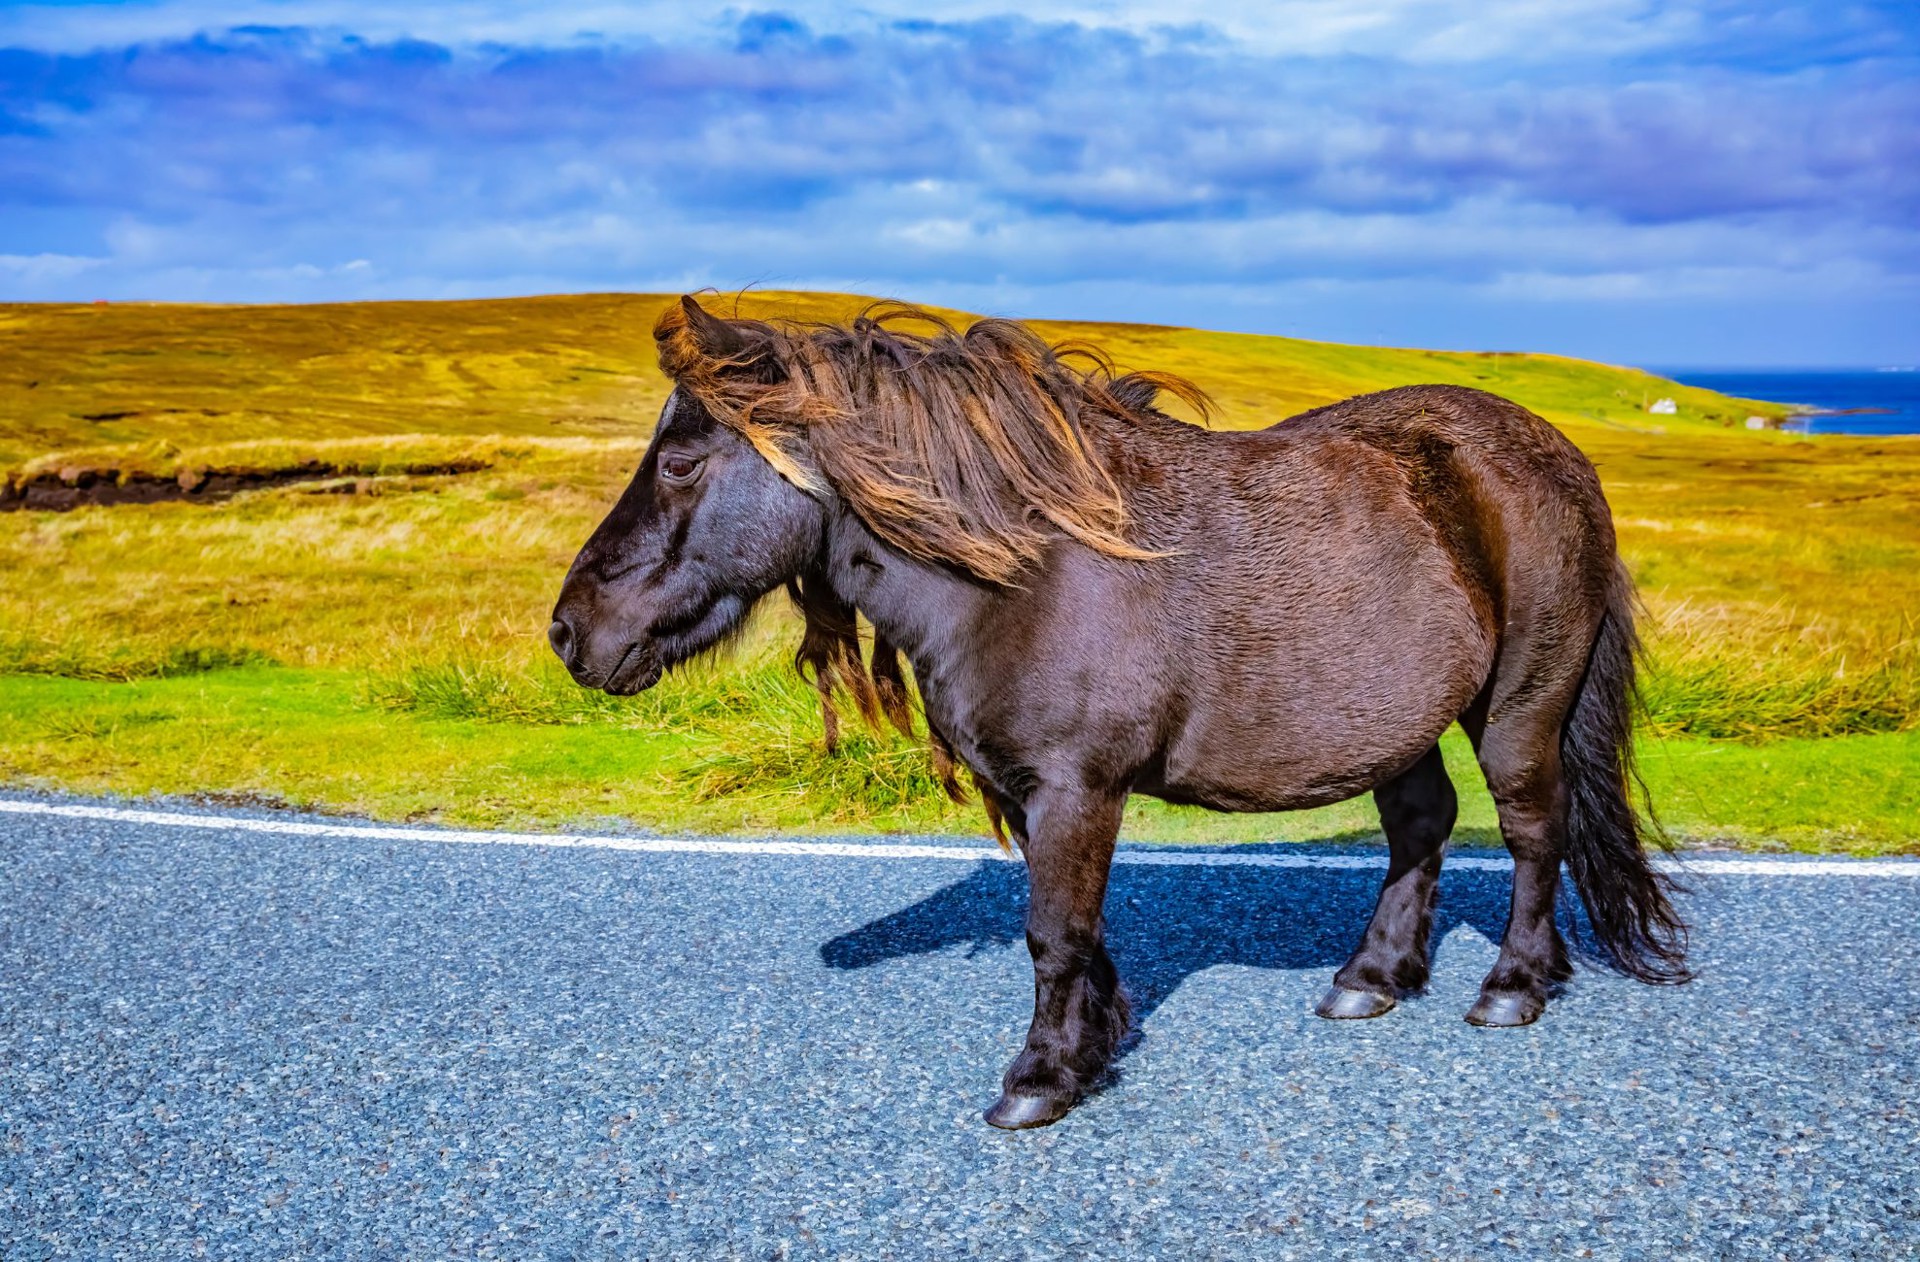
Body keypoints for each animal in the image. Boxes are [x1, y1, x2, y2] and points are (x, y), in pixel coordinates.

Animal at [549, 295, 1689, 1130]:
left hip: (1521, 705)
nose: (569, 632)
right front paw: (1090, 1049)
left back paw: (1514, 983)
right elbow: (1078, 932)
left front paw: (1039, 1078)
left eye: (681, 461)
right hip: (1395, 720)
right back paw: (1371, 977)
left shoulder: (1074, 786)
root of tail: (1553, 455)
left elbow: (1054, 933)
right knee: (1421, 826)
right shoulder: (1043, 792)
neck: (1030, 568)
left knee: (1533, 829)